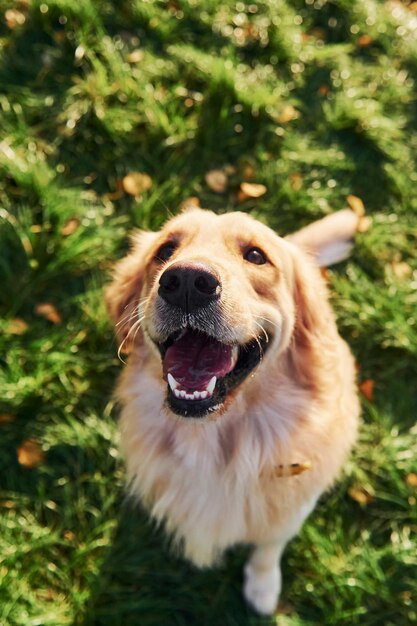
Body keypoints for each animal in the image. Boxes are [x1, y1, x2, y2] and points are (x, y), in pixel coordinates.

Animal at [105, 207, 360, 612]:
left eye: (256, 256)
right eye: (165, 250)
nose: (187, 282)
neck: (219, 445)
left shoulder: (294, 503)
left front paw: (263, 586)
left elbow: (269, 545)